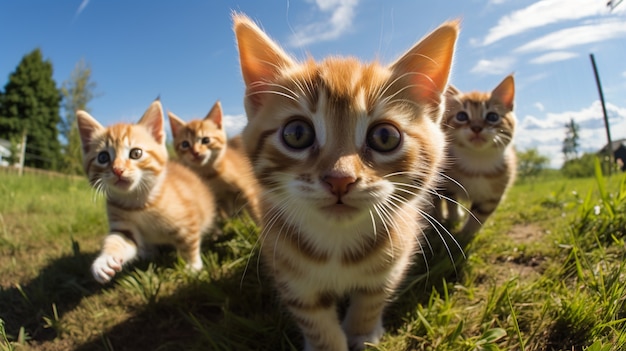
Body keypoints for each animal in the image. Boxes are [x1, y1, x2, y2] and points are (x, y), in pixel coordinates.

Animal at [76, 100, 214, 284]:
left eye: (136, 153)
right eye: (103, 157)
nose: (118, 170)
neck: (138, 203)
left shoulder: (187, 221)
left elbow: (189, 244)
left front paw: (193, 267)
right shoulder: (124, 226)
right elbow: (117, 240)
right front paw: (104, 262)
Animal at [232, 13, 456, 351]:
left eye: (385, 137)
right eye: (297, 134)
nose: (340, 179)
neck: (338, 246)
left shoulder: (393, 261)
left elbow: (372, 299)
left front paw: (364, 334)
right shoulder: (292, 277)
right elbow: (314, 319)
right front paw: (328, 343)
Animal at [432, 75, 516, 248]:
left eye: (492, 116)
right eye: (461, 116)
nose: (477, 127)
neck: (476, 163)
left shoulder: (493, 195)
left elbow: (479, 215)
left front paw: (465, 235)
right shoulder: (447, 184)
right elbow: (451, 203)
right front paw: (454, 219)